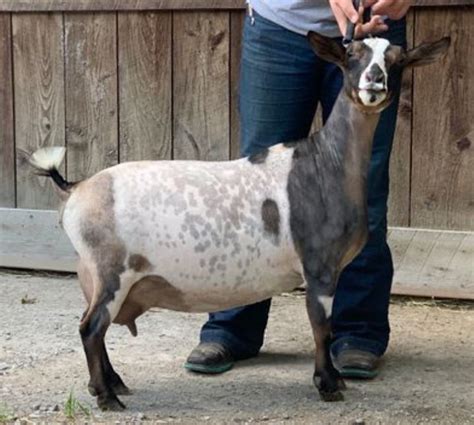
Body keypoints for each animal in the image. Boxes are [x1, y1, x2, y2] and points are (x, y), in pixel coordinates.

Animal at [29, 34, 452, 410]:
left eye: (397, 60)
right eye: (351, 55)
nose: (374, 81)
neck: (323, 164)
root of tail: (76, 187)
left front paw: (336, 380)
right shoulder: (318, 265)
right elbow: (321, 326)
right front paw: (328, 385)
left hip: (100, 276)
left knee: (95, 328)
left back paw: (113, 384)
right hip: (111, 270)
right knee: (90, 328)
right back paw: (108, 397)